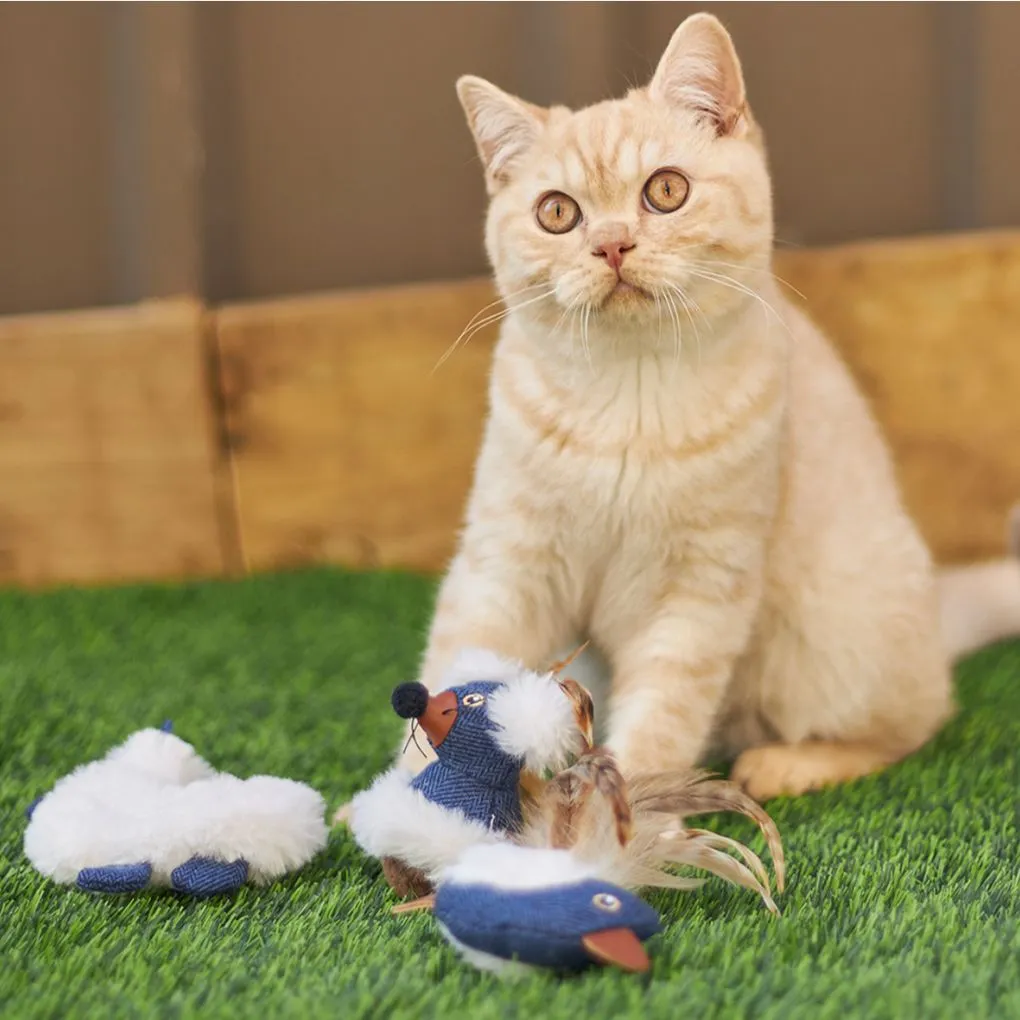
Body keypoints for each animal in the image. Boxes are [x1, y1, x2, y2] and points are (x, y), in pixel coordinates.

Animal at [401, 11, 1015, 799]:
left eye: (666, 191)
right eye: (557, 212)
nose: (611, 245)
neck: (627, 397)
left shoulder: (701, 589)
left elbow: (664, 711)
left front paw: (623, 814)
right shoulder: (506, 560)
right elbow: (462, 657)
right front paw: (402, 797)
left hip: (837, 637)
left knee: (912, 725)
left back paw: (784, 764)